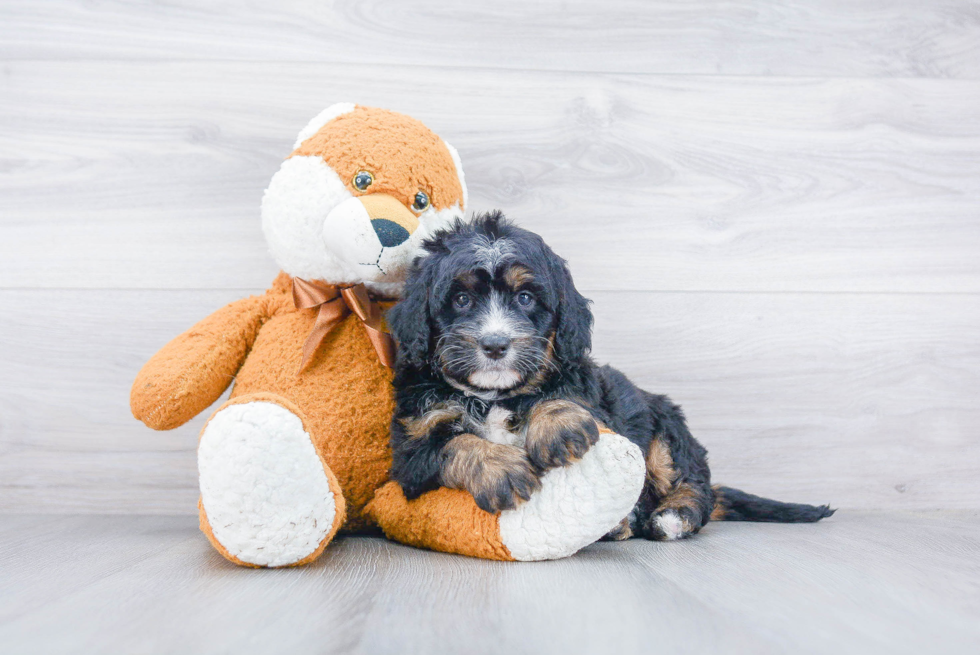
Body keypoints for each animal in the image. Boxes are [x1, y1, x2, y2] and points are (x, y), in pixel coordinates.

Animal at [386, 213, 832, 540]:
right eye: (461, 299)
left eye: (525, 298)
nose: (495, 345)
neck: (495, 395)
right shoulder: (412, 448)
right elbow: (455, 444)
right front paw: (500, 467)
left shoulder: (588, 390)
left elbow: (564, 390)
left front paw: (558, 424)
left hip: (665, 427)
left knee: (694, 484)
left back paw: (670, 516)